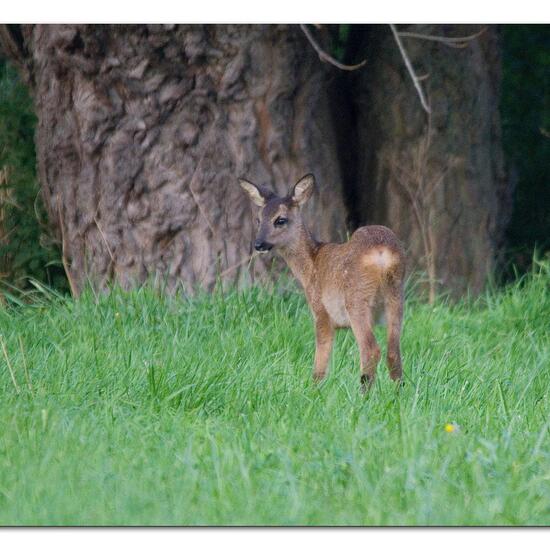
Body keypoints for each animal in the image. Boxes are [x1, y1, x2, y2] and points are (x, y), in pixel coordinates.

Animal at [239, 174, 408, 392]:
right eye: (258, 219)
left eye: (280, 220)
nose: (258, 244)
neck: (311, 265)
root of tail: (382, 254)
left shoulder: (320, 310)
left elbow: (320, 361)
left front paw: (312, 390)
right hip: (396, 295)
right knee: (393, 351)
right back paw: (397, 392)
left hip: (356, 299)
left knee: (370, 350)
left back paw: (363, 394)